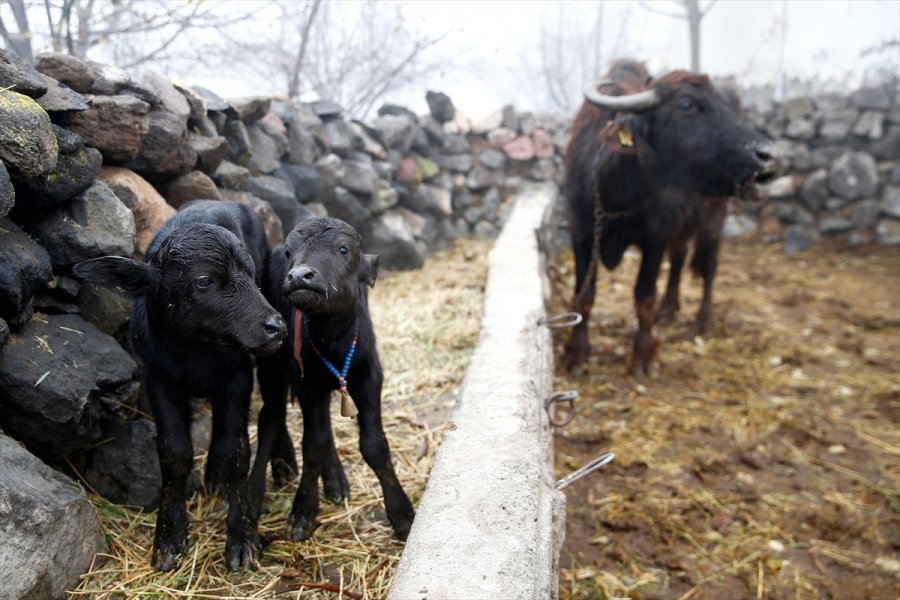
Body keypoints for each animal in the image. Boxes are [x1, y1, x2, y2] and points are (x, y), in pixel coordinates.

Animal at [74, 202, 286, 572]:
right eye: (204, 281)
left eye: (250, 273)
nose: (276, 326)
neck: (193, 351)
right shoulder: (159, 379)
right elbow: (174, 453)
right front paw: (169, 538)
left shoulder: (237, 377)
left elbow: (236, 451)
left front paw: (242, 538)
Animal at [253, 217, 414, 544]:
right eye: (289, 252)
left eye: (343, 249)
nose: (299, 276)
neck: (333, 342)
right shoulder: (307, 385)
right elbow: (314, 444)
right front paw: (302, 513)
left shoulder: (370, 379)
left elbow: (374, 445)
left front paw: (403, 516)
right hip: (271, 369)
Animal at [564, 62, 772, 380]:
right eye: (686, 104)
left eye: (725, 106)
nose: (766, 156)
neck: (616, 192)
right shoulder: (581, 234)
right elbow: (584, 294)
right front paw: (578, 354)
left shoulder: (655, 239)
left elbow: (644, 297)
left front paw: (643, 357)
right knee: (679, 257)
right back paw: (669, 309)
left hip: (714, 216)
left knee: (709, 265)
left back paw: (701, 322)